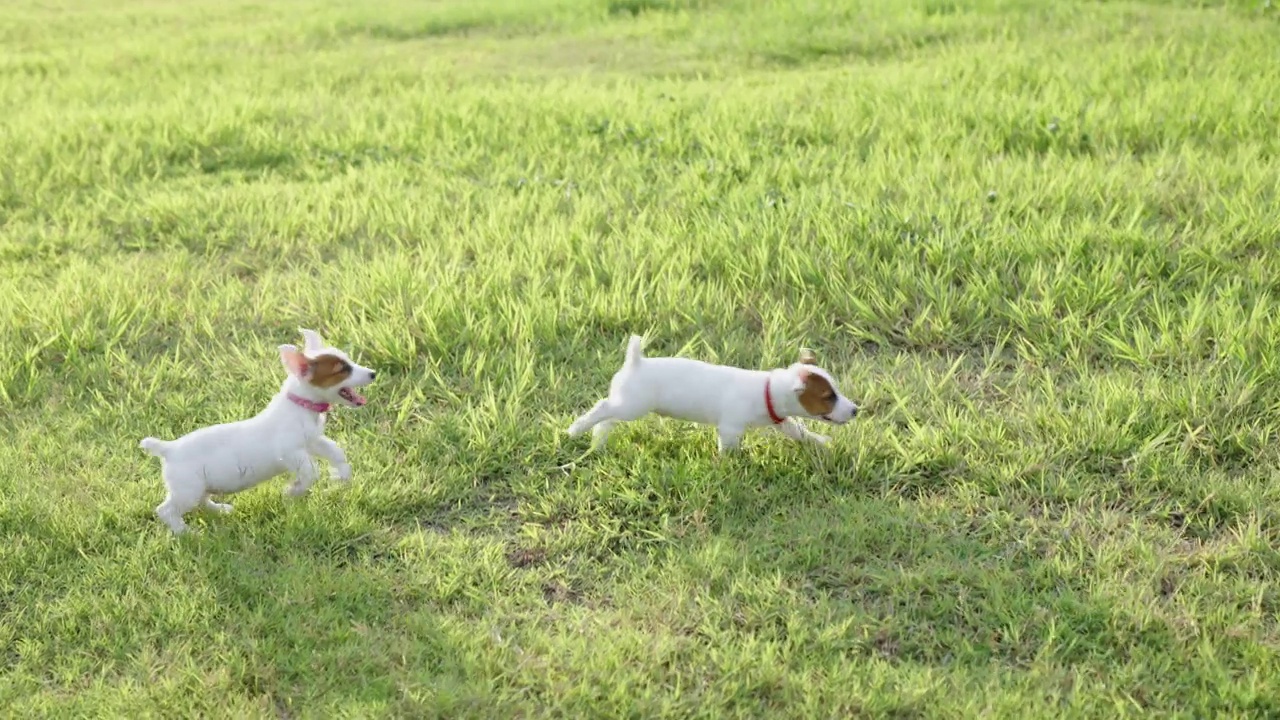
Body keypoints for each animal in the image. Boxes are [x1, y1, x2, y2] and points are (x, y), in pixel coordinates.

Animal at [144, 327, 378, 530]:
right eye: (343, 370)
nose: (373, 373)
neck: (299, 404)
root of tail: (168, 449)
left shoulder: (313, 441)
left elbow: (336, 452)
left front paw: (341, 475)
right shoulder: (291, 452)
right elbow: (311, 471)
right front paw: (293, 490)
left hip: (199, 486)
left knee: (202, 501)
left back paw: (220, 510)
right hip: (187, 490)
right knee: (165, 510)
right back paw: (185, 532)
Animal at [565, 333, 855, 453]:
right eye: (828, 396)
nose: (855, 410)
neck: (768, 389)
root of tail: (636, 362)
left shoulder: (781, 421)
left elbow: (800, 431)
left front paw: (820, 441)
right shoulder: (729, 430)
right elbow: (728, 450)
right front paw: (731, 465)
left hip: (626, 404)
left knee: (606, 420)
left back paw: (597, 443)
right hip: (631, 406)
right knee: (602, 408)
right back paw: (576, 429)